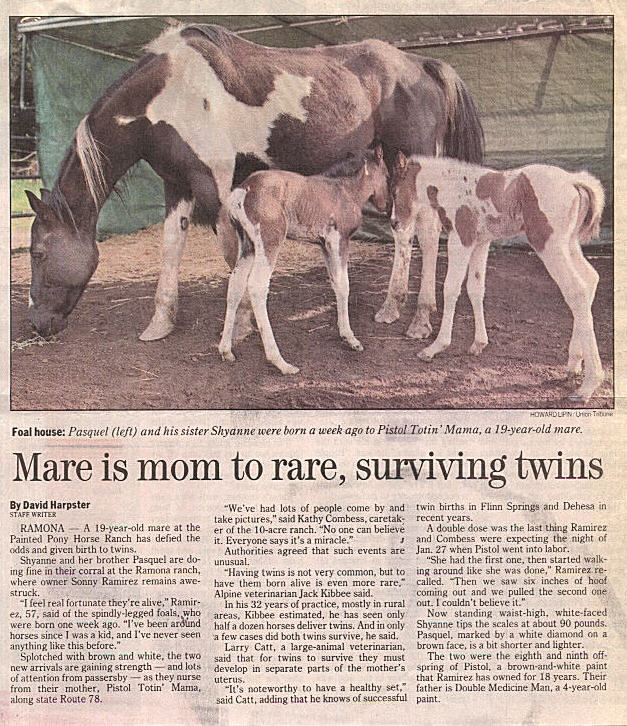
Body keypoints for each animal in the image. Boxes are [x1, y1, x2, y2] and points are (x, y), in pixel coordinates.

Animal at [220, 148, 388, 376]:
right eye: (387, 175)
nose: (386, 205)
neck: (345, 191)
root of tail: (244, 189)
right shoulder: (339, 240)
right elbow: (344, 285)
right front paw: (351, 339)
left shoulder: (324, 245)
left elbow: (335, 284)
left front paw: (344, 334)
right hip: (269, 242)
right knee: (256, 286)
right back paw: (280, 361)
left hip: (248, 247)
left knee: (235, 285)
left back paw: (225, 350)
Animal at [390, 154, 604, 404]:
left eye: (395, 190)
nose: (394, 223)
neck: (454, 186)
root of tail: (572, 180)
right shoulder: (481, 243)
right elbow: (475, 288)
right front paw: (478, 344)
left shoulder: (460, 240)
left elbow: (451, 289)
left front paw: (435, 347)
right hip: (568, 244)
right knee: (590, 279)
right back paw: (574, 364)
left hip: (549, 245)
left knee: (576, 290)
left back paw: (588, 386)